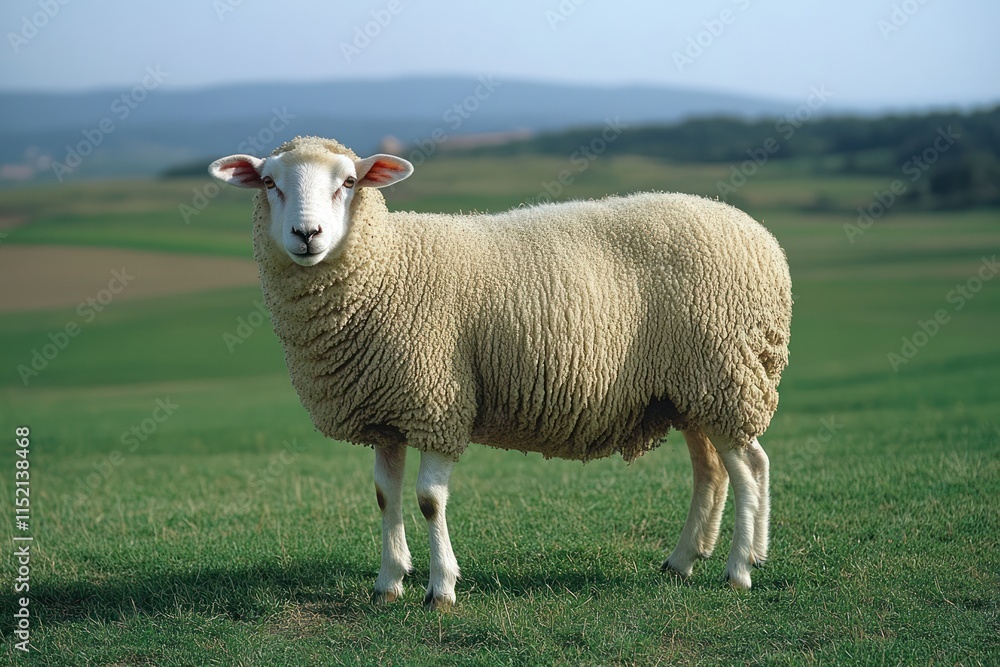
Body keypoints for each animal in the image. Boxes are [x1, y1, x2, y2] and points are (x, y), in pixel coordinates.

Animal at [208, 135, 792, 608]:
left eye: (349, 182)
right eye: (269, 183)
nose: (306, 234)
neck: (387, 267)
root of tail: (760, 235)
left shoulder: (437, 401)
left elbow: (428, 500)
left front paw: (441, 588)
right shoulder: (387, 412)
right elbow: (384, 495)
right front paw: (389, 582)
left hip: (726, 375)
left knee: (749, 467)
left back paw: (741, 567)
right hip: (691, 389)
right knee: (712, 471)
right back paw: (684, 560)